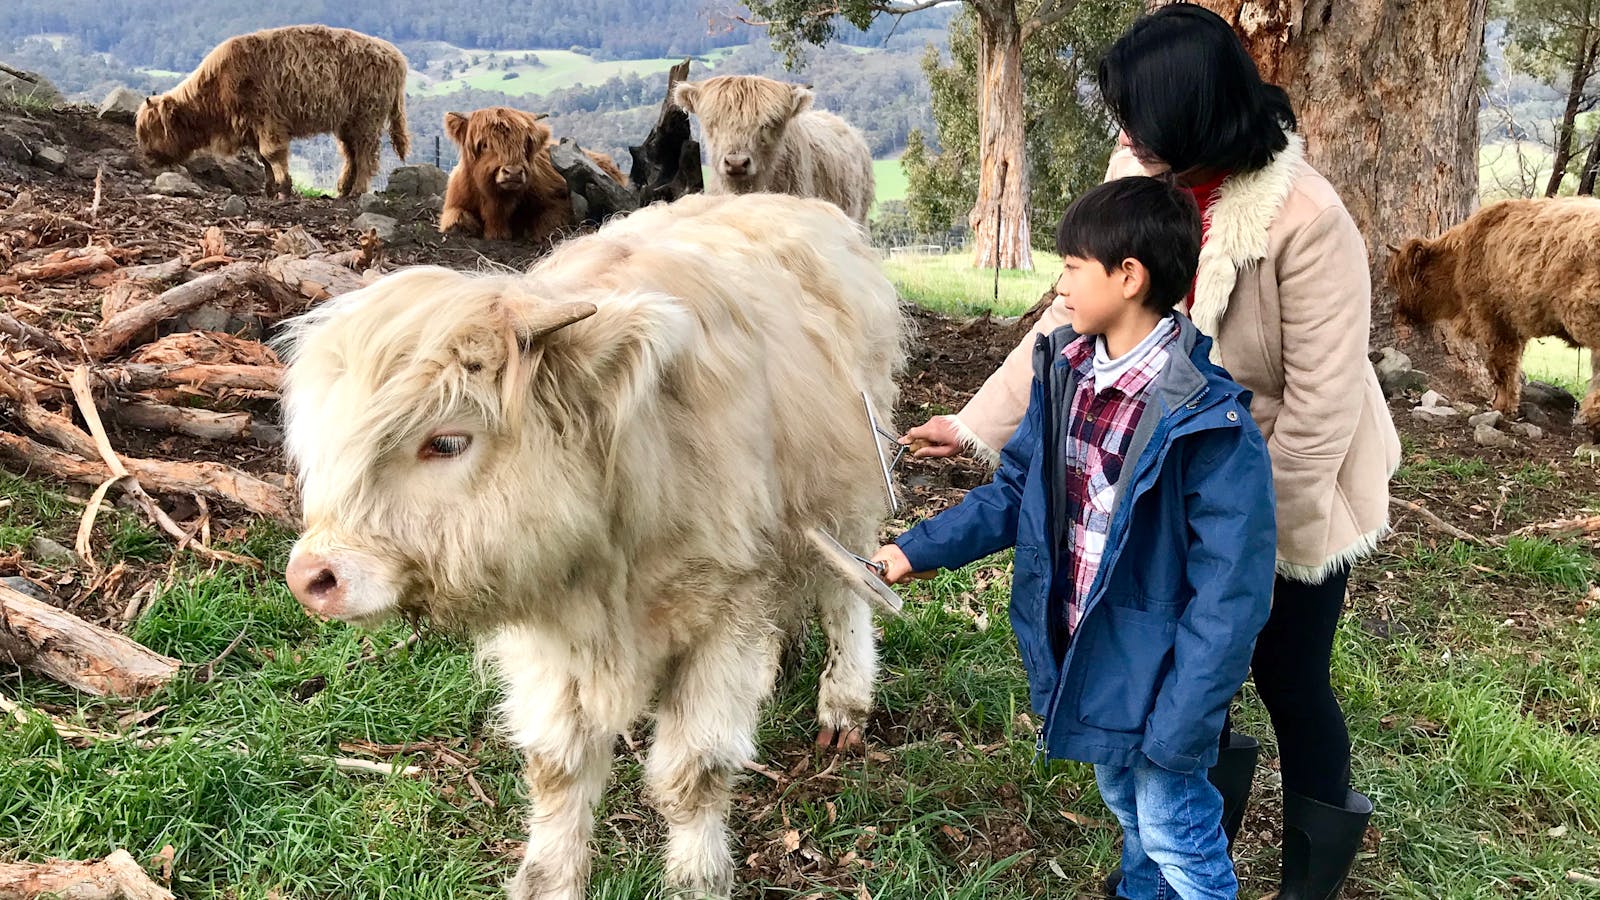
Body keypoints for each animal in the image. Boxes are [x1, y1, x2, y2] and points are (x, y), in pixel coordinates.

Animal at [136, 25, 409, 199]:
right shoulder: (253, 128)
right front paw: (268, 189)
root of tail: (395, 56)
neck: (220, 83)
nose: (147, 157)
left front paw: (284, 189)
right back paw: (343, 189)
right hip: (347, 123)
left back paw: (357, 191)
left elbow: (272, 154)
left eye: (153, 130)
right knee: (350, 154)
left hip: (367, 119)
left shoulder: (268, 121)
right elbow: (263, 159)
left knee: (365, 155)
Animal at [280, 192, 905, 900]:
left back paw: (844, 703)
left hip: (848, 492)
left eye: (447, 441)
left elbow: (695, 772)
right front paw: (548, 879)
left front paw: (698, 876)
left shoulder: (730, 611)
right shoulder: (550, 636)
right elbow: (558, 769)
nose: (312, 577)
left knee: (847, 592)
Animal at [439, 107, 627, 244]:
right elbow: (458, 220)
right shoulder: (454, 206)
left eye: (525, 144)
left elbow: (547, 223)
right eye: (485, 144)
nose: (513, 172)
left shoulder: (558, 202)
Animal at [1389, 196, 1600, 439]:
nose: (1401, 311)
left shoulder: (1493, 317)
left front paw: (1501, 405)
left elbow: (1502, 365)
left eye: (1402, 278)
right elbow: (1511, 365)